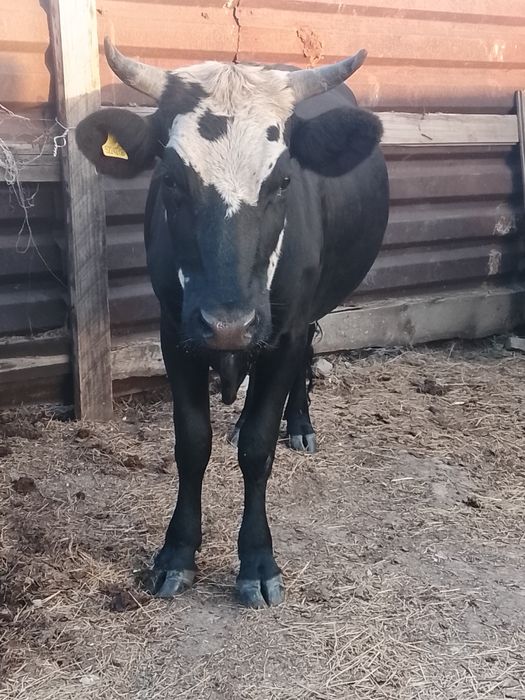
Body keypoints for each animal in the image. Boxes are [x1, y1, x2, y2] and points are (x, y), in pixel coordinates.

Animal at [76, 38, 389, 608]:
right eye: (171, 180)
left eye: (283, 180)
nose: (228, 324)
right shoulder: (175, 331)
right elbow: (191, 442)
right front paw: (177, 553)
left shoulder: (283, 329)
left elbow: (259, 447)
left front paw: (257, 561)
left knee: (305, 357)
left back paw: (300, 424)